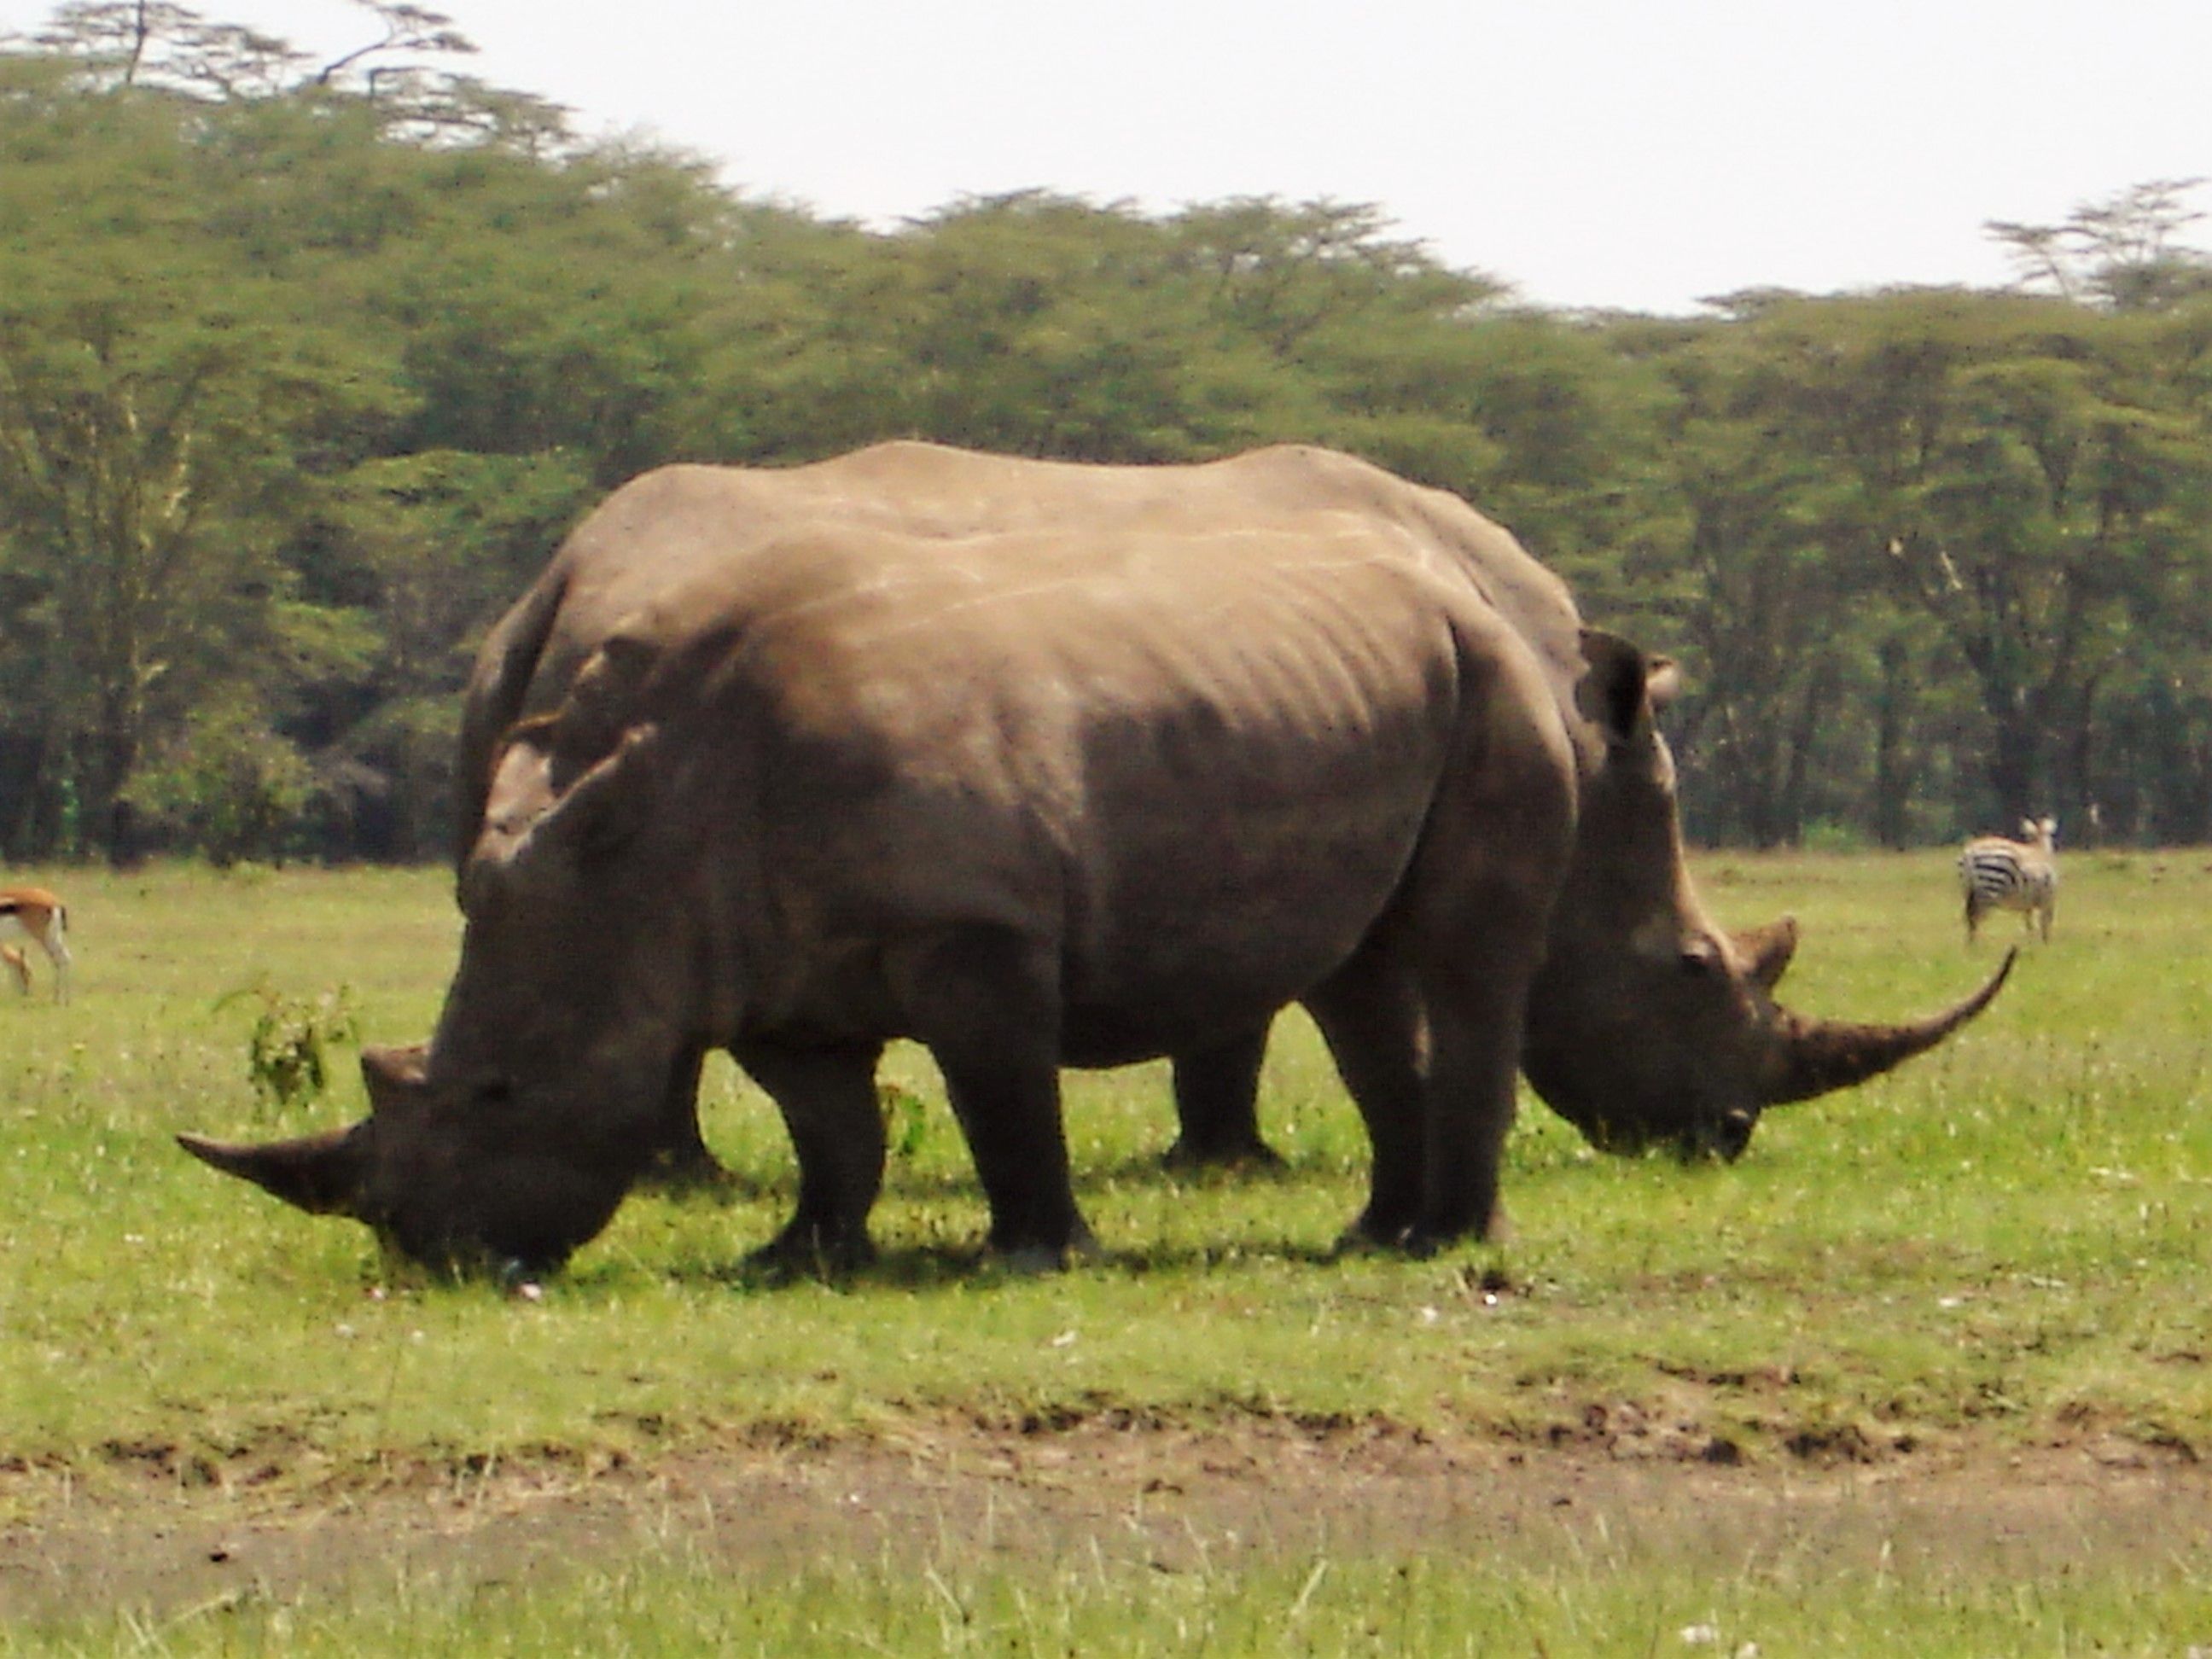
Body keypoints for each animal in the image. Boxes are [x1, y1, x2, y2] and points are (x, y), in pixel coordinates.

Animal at [1964, 823, 2061, 946]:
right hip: (1989, 890)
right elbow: (2044, 924)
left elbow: (2030, 924)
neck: (2039, 848)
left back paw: (1971, 947)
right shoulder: (2047, 899)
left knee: (1970, 919)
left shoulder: (2028, 903)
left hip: (1968, 892)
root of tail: (1971, 853)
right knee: (1976, 918)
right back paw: (1978, 947)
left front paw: (2031, 945)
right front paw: (2046, 946)